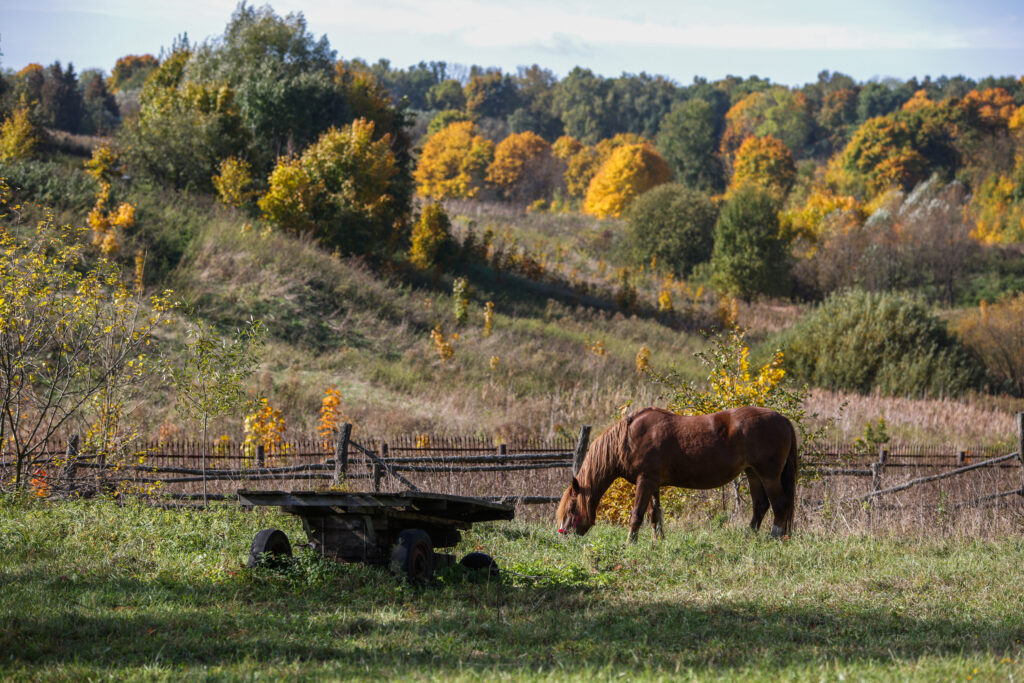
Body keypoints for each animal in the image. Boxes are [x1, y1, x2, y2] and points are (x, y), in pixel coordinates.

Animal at [556, 406, 798, 542]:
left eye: (571, 508)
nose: (563, 536)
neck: (628, 438)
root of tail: (783, 419)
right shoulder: (651, 483)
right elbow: (654, 514)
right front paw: (658, 542)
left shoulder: (645, 481)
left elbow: (637, 515)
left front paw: (629, 543)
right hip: (753, 473)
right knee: (760, 505)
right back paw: (750, 537)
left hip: (769, 475)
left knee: (780, 505)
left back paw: (775, 538)